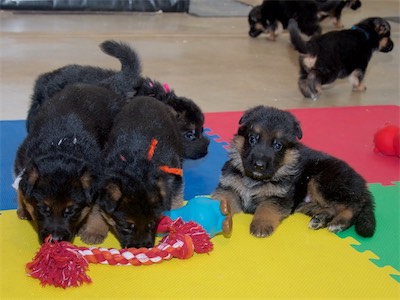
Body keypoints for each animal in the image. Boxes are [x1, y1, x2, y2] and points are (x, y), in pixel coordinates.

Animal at [14, 83, 124, 243]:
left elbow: (96, 209)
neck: (60, 147)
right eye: (43, 209)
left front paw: (93, 230)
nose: (55, 239)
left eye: (71, 211)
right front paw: (23, 206)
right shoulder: (23, 160)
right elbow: (20, 187)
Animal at [97, 96, 184, 248]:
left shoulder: (175, 177)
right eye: (126, 226)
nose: (141, 248)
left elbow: (175, 201)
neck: (137, 162)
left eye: (152, 223)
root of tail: (146, 97)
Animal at [212, 105, 376, 239]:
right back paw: (319, 219)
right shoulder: (229, 189)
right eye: (252, 139)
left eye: (277, 145)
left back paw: (339, 223)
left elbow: (267, 207)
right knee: (333, 207)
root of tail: (362, 184)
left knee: (354, 205)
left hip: (322, 181)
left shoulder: (279, 197)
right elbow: (220, 201)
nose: (259, 165)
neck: (254, 180)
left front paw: (261, 224)